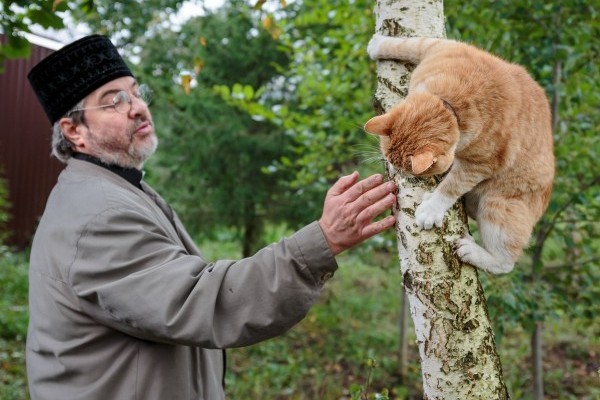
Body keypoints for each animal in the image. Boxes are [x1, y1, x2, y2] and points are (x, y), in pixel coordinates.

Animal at [364, 34, 556, 274]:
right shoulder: (437, 46)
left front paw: (431, 209)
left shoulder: (481, 164)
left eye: (403, 167)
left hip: (498, 206)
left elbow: (452, 185)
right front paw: (378, 45)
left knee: (506, 263)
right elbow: (405, 44)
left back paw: (473, 252)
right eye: (390, 160)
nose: (396, 171)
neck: (449, 101)